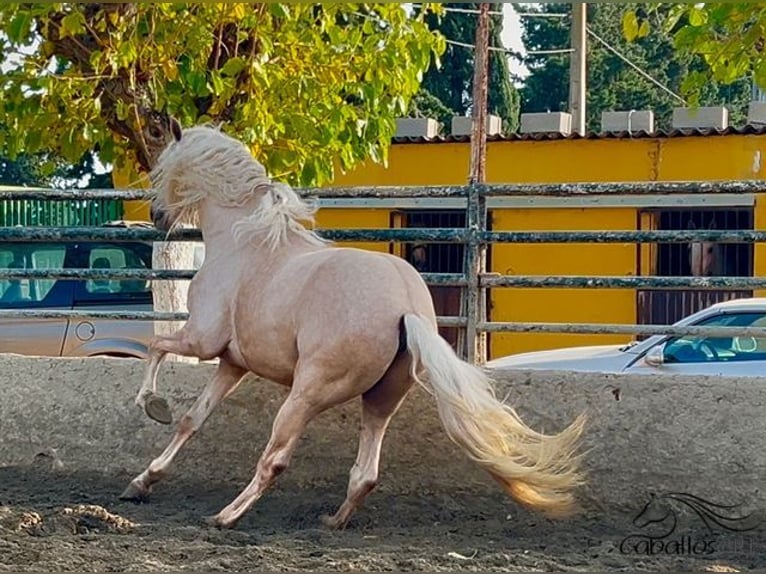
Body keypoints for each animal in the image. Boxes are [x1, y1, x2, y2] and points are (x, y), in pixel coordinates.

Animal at [120, 124, 588, 532]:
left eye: (164, 168)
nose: (158, 217)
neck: (245, 241)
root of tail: (405, 309)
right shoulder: (232, 364)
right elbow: (192, 421)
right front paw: (141, 482)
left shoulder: (202, 340)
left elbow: (156, 346)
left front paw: (151, 404)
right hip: (381, 399)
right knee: (366, 474)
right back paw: (332, 521)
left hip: (306, 394)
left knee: (275, 460)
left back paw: (226, 516)